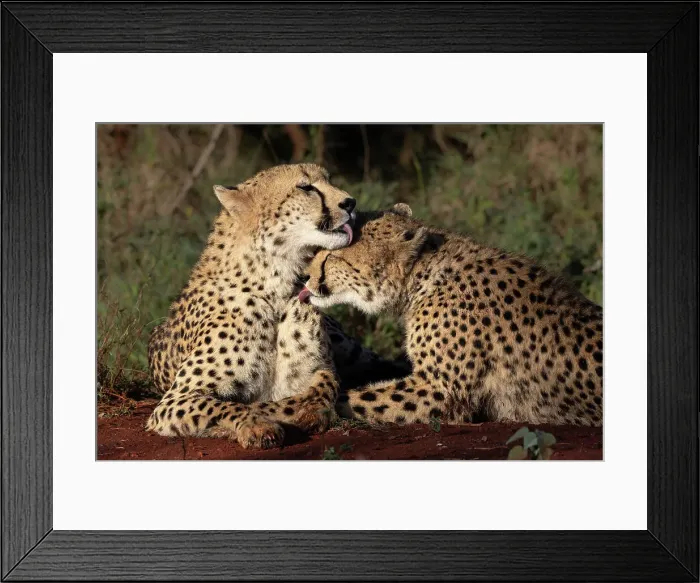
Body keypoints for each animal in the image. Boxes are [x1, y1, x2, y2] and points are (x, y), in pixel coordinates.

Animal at [146, 163, 404, 448]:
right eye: (306, 187)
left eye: (329, 180)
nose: (350, 202)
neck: (277, 287)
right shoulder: (175, 399)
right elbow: (227, 406)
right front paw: (256, 425)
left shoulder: (321, 367)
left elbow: (327, 381)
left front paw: (310, 408)